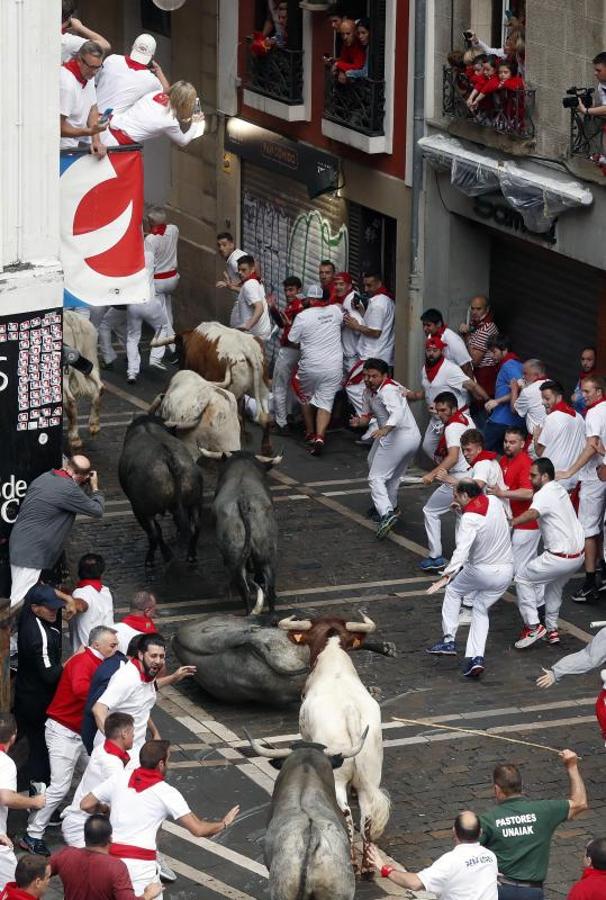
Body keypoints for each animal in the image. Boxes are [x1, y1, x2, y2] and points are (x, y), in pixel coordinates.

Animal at [62, 312, 103, 450]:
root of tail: (69, 317)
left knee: (70, 400)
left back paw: (74, 438)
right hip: (90, 359)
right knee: (100, 387)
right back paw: (94, 425)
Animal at [152, 320, 274, 454]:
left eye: (180, 351)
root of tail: (247, 348)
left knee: (241, 418)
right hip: (262, 389)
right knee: (266, 418)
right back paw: (266, 448)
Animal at [280, 616, 390, 876]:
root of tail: (350, 712)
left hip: (338, 776)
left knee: (347, 813)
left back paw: (351, 860)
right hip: (371, 775)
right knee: (367, 815)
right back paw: (367, 866)